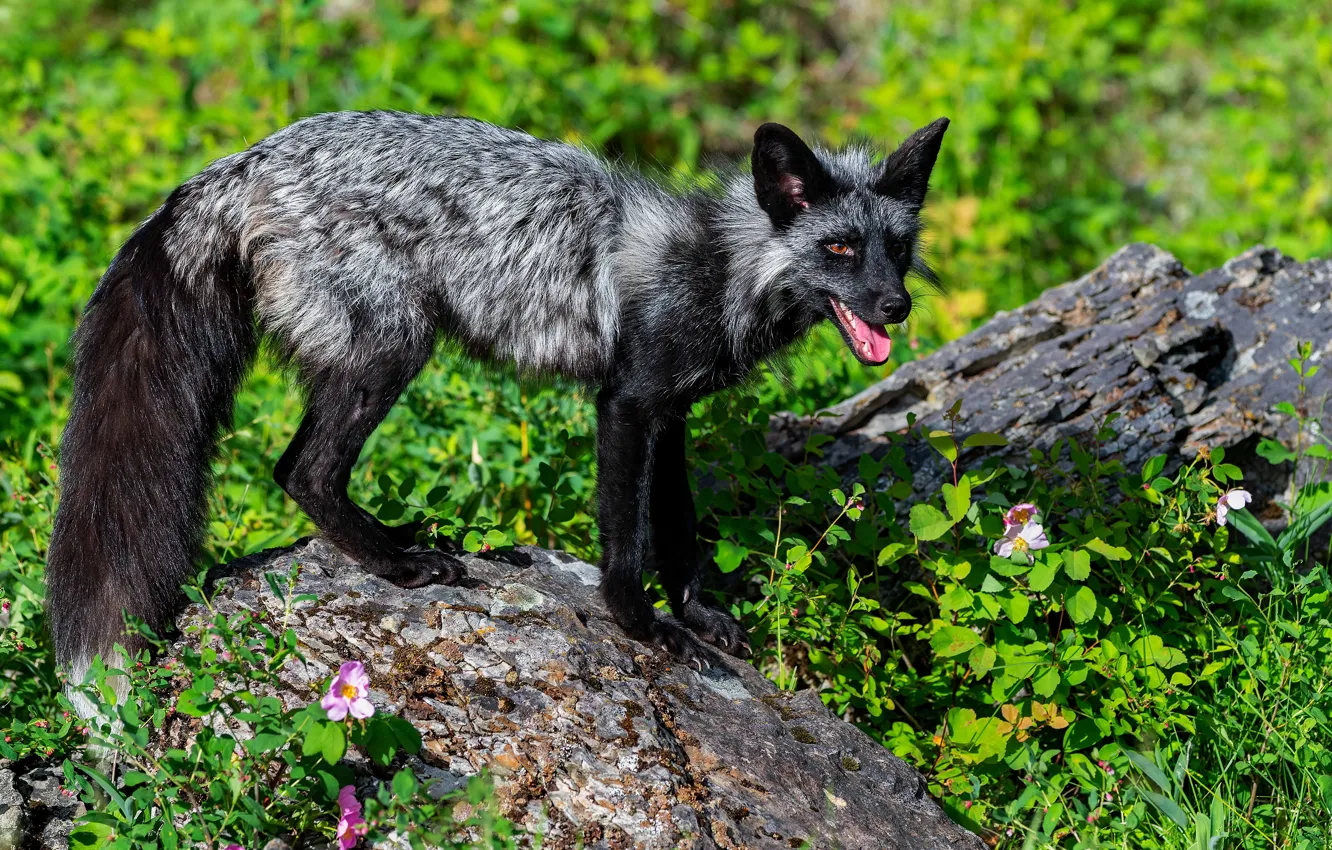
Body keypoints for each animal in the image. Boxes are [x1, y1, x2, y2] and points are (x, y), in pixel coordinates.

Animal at [46, 110, 948, 691]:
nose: (896, 308)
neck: (720, 270)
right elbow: (628, 545)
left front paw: (698, 615)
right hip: (392, 352)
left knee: (302, 470)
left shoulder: (673, 415)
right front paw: (644, 626)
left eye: (898, 249)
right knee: (300, 470)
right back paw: (400, 567)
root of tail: (241, 163)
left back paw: (398, 539)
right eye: (839, 248)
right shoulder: (627, 404)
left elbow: (681, 534)